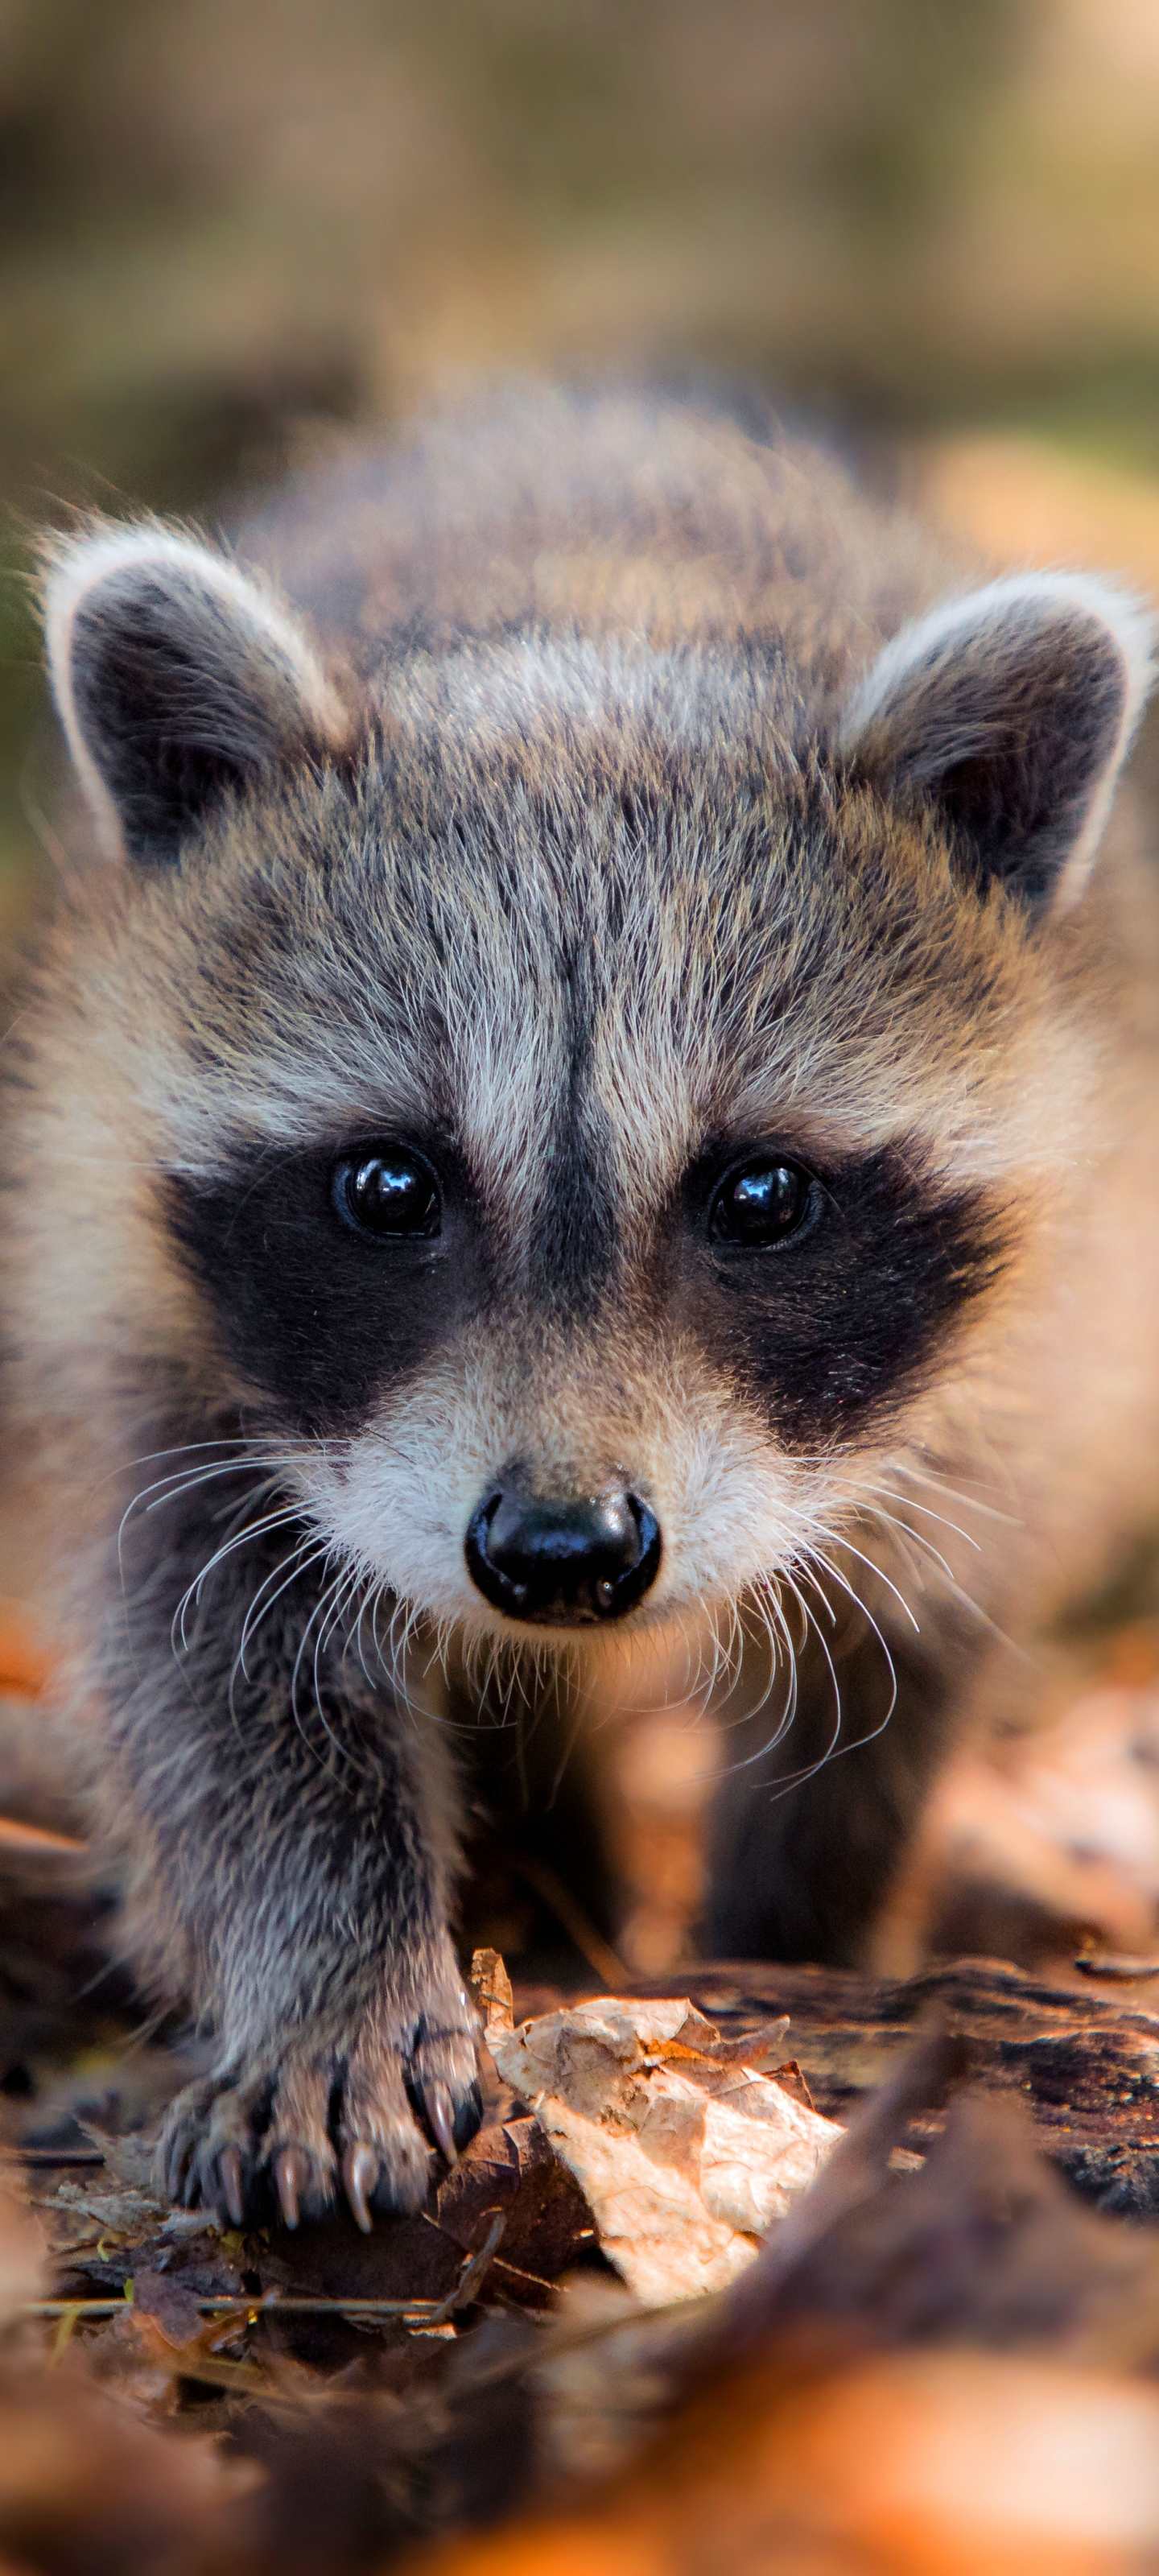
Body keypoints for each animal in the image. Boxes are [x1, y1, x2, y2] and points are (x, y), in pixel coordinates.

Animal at [6, 391, 1159, 2225]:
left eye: (761, 1197)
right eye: (386, 1187)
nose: (562, 1556)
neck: (600, 616)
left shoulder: (1049, 1326)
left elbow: (897, 1656)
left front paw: (794, 1939)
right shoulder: (122, 1268)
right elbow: (209, 1662)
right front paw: (330, 1975)